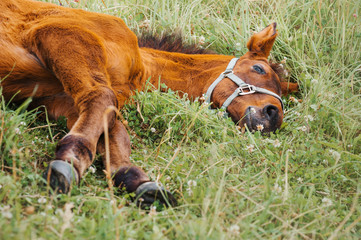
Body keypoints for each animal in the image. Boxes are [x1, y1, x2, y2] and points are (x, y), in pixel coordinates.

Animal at [0, 0, 296, 206]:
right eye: (258, 69)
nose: (273, 115)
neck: (139, 70)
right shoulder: (60, 34)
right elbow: (102, 100)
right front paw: (71, 159)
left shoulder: (61, 101)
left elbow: (113, 130)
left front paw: (138, 181)